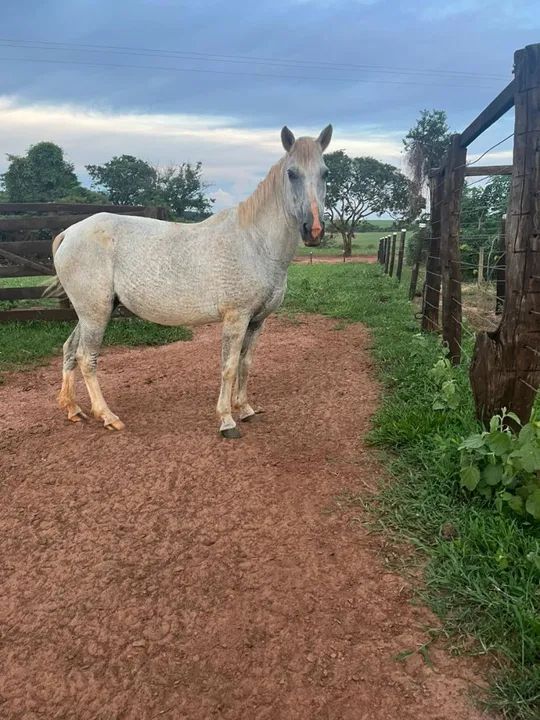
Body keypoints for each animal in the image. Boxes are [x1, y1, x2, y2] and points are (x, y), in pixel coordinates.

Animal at [45, 124, 333, 438]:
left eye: (325, 173)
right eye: (292, 173)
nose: (314, 230)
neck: (255, 242)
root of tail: (69, 233)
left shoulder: (257, 321)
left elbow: (246, 363)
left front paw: (245, 409)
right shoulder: (236, 317)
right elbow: (229, 366)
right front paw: (227, 420)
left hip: (90, 313)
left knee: (70, 350)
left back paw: (73, 410)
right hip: (95, 314)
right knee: (87, 358)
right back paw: (108, 416)